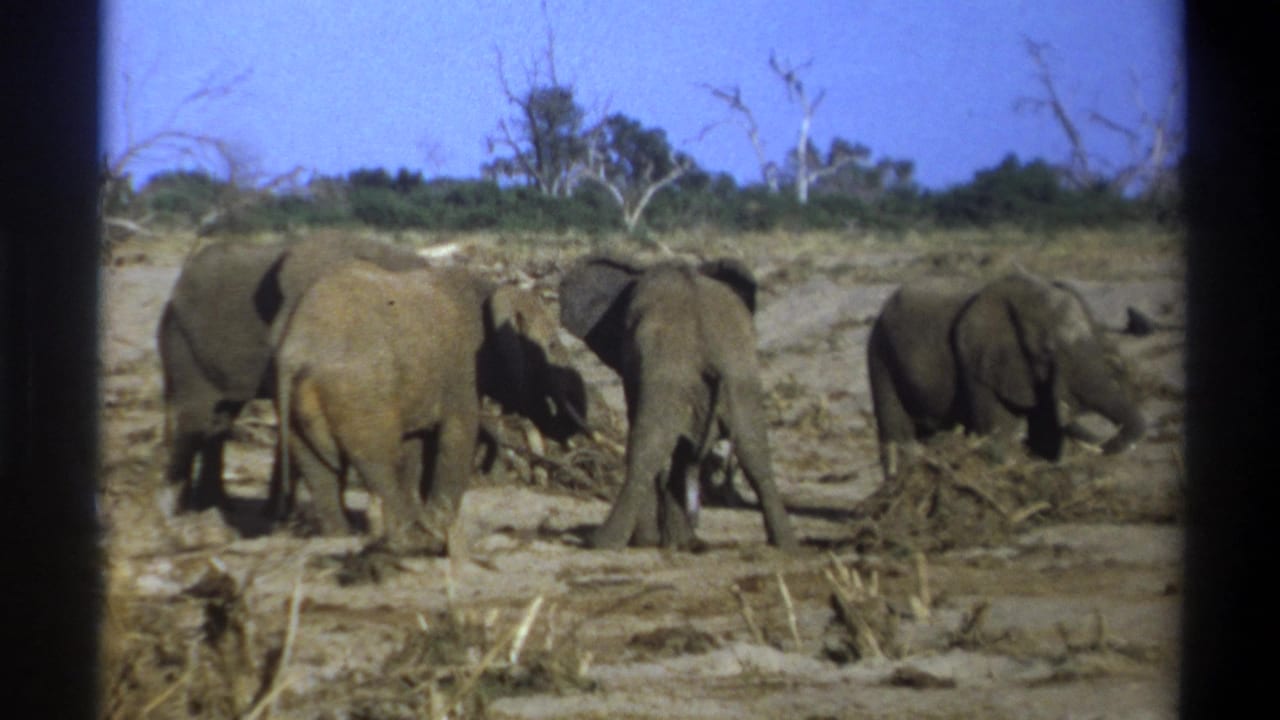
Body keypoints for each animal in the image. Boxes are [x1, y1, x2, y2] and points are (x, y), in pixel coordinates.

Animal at [274, 261, 587, 552]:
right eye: (552, 345)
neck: (490, 290)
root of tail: (298, 352)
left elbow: (416, 445)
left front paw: (427, 520)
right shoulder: (462, 370)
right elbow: (459, 434)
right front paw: (438, 525)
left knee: (317, 467)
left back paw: (341, 535)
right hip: (359, 394)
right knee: (379, 462)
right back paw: (406, 538)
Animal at [558, 254, 798, 551]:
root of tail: (708, 353)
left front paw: (655, 541)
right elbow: (686, 448)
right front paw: (679, 542)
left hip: (674, 376)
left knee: (647, 448)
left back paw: (605, 542)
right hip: (740, 379)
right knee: (754, 451)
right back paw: (785, 544)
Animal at [866, 270, 1146, 480]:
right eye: (1047, 350)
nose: (1068, 406)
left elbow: (1046, 434)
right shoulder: (976, 360)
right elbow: (998, 429)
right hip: (879, 353)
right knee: (897, 431)